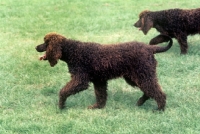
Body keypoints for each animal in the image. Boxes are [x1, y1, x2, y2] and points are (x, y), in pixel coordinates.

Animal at [35, 32, 173, 111]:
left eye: (45, 43)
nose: (36, 47)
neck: (73, 50)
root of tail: (151, 48)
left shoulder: (80, 80)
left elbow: (63, 91)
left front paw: (61, 106)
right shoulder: (99, 80)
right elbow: (101, 96)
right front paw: (97, 107)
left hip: (143, 75)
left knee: (157, 92)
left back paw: (159, 109)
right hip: (137, 77)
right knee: (150, 91)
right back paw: (141, 102)